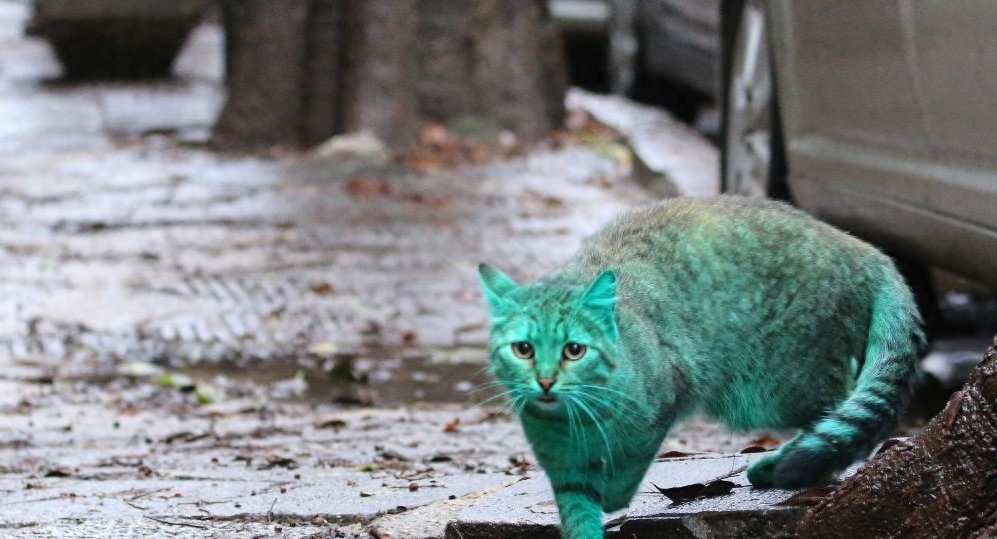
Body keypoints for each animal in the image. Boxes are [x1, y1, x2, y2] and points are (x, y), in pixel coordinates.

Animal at [476, 197, 924, 539]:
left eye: (574, 350)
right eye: (523, 350)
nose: (545, 381)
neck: (576, 419)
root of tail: (863, 249)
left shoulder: (662, 406)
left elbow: (626, 469)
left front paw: (615, 493)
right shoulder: (566, 469)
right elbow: (579, 515)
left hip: (784, 385)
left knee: (834, 418)